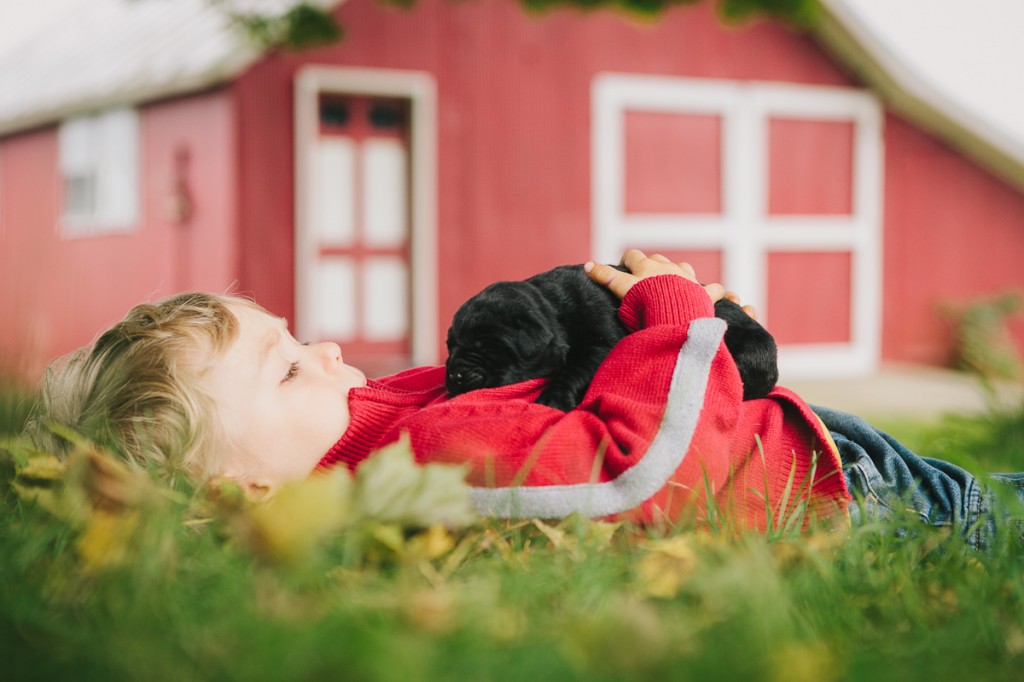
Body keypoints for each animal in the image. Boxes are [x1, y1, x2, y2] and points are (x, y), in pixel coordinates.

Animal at [446, 262, 774, 409]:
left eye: (490, 347)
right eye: (449, 346)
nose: (457, 375)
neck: (552, 307)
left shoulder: (600, 341)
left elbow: (575, 368)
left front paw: (553, 399)